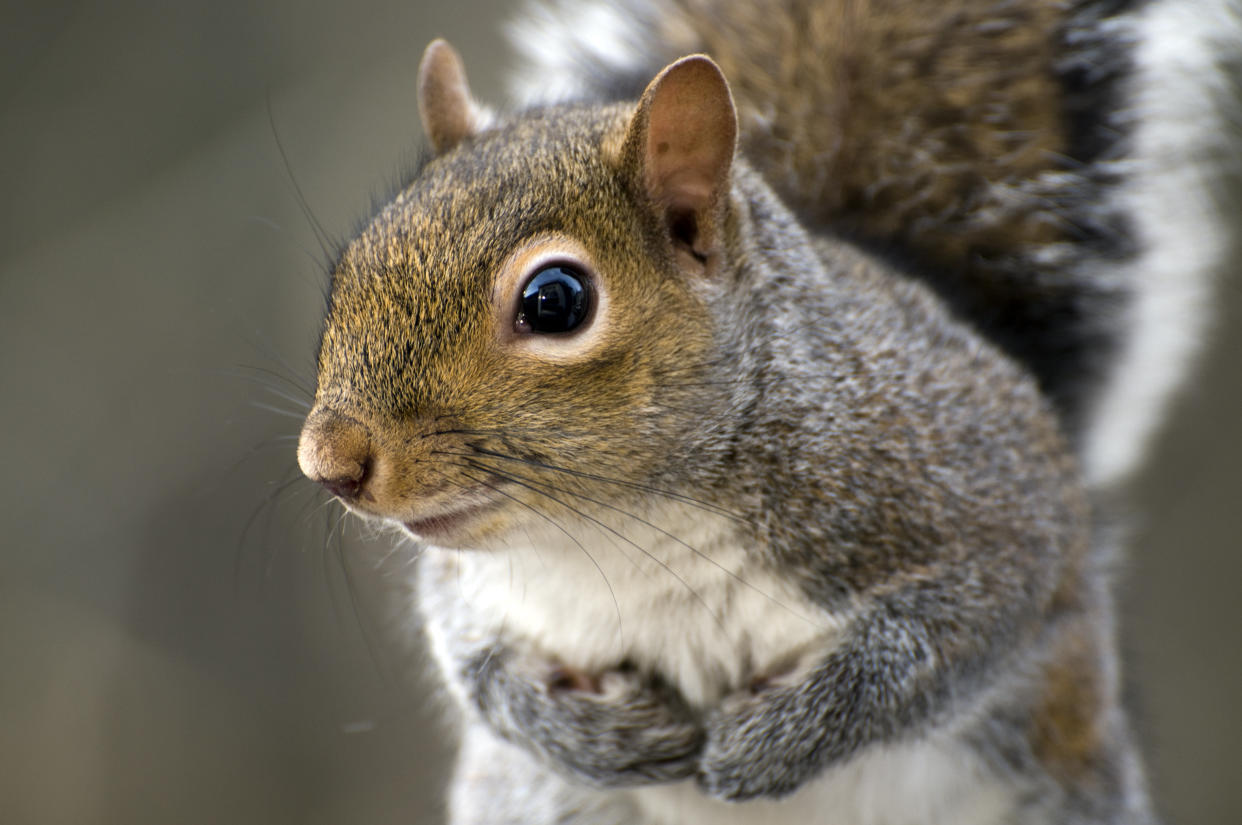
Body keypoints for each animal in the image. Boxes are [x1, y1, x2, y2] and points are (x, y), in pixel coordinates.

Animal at [295, 1, 1237, 825]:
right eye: (350, 271)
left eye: (555, 300)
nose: (330, 462)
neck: (621, 531)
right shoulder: (469, 586)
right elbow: (471, 659)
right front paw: (594, 734)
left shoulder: (988, 497)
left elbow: (953, 632)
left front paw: (779, 737)